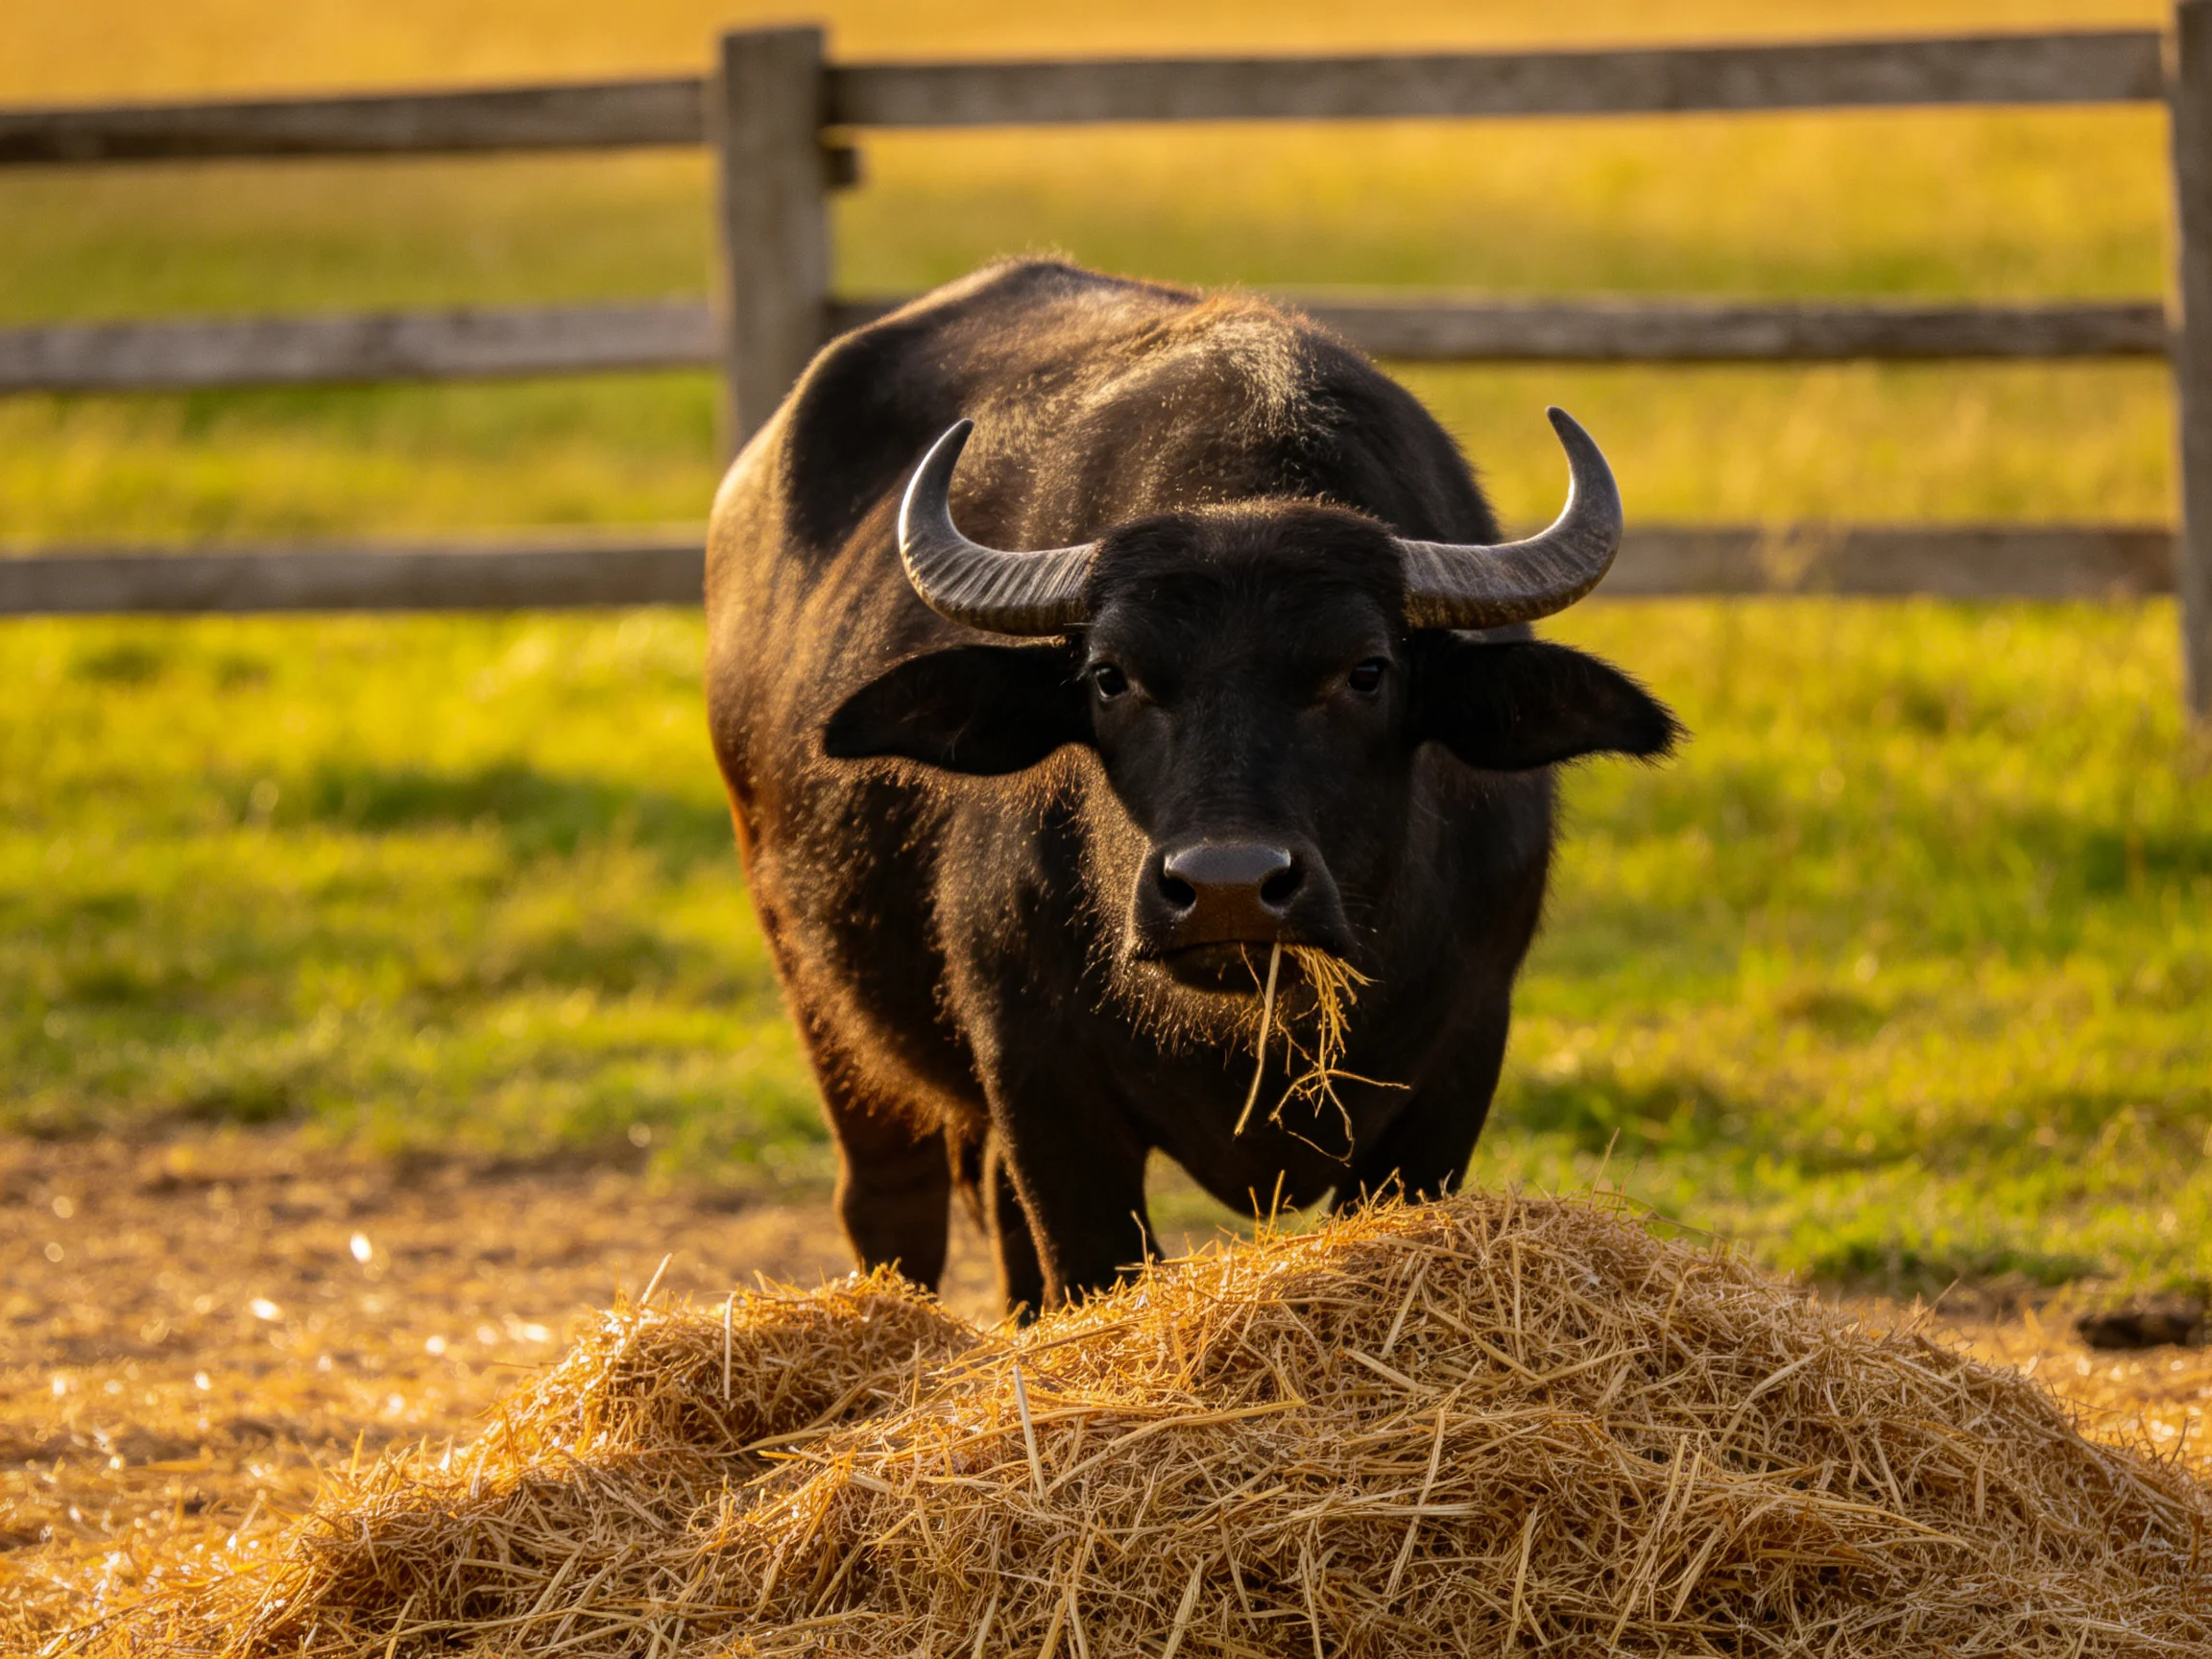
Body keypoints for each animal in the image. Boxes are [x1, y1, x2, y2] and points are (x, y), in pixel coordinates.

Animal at [704, 259, 1677, 1315]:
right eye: (1109, 677)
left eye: (1367, 671)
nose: (1227, 889)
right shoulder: (1039, 1074)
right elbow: (1088, 1261)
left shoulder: (1457, 1065)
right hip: (814, 983)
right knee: (892, 1205)